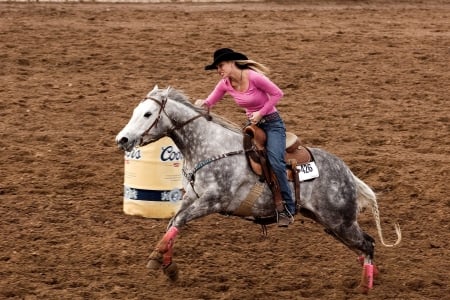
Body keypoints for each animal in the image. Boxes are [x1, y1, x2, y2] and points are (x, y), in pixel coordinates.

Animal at [116, 85, 400, 292]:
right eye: (136, 110)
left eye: (148, 114)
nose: (123, 139)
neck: (210, 147)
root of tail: (348, 173)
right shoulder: (192, 197)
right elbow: (172, 223)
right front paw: (169, 266)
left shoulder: (212, 200)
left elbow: (179, 221)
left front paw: (157, 260)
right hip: (330, 223)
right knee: (362, 246)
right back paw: (372, 277)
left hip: (340, 220)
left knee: (368, 244)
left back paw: (365, 286)